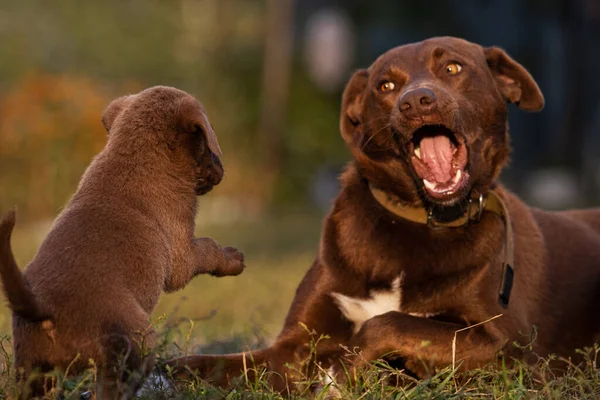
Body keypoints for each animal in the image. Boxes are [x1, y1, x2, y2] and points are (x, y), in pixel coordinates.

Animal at [0, 86, 246, 398]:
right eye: (206, 139)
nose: (221, 169)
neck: (135, 153)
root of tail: (41, 307)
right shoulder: (182, 254)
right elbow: (209, 247)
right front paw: (233, 259)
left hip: (34, 372)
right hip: (136, 343)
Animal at [164, 38, 600, 390]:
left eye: (453, 68)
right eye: (385, 86)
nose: (416, 101)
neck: (417, 221)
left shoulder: (511, 351)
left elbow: (390, 323)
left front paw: (347, 374)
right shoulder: (293, 345)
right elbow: (215, 366)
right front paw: (167, 371)